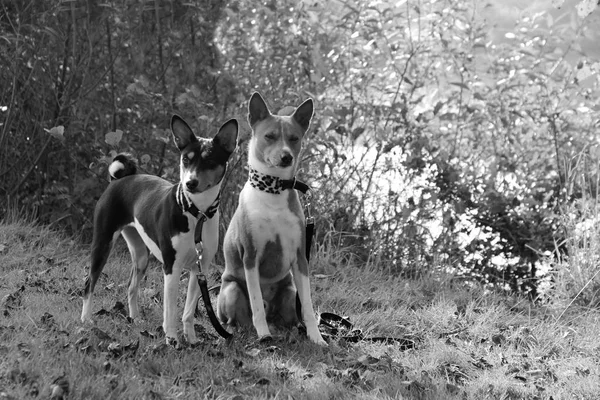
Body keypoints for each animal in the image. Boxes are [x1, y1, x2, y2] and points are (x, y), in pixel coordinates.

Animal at [80, 114, 239, 346]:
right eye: (186, 160)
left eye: (210, 161)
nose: (190, 183)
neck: (196, 213)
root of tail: (119, 179)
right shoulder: (171, 267)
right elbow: (170, 310)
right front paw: (172, 339)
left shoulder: (199, 269)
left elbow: (188, 311)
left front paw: (191, 339)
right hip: (103, 243)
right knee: (89, 283)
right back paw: (86, 320)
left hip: (140, 255)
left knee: (131, 287)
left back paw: (135, 319)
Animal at [217, 92, 326, 346]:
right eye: (269, 136)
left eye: (294, 138)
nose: (286, 157)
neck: (273, 189)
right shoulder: (251, 257)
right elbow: (256, 302)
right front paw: (264, 335)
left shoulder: (300, 257)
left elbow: (308, 306)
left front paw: (316, 338)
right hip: (231, 290)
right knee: (241, 318)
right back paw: (250, 331)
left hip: (289, 292)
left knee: (292, 315)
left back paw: (293, 329)